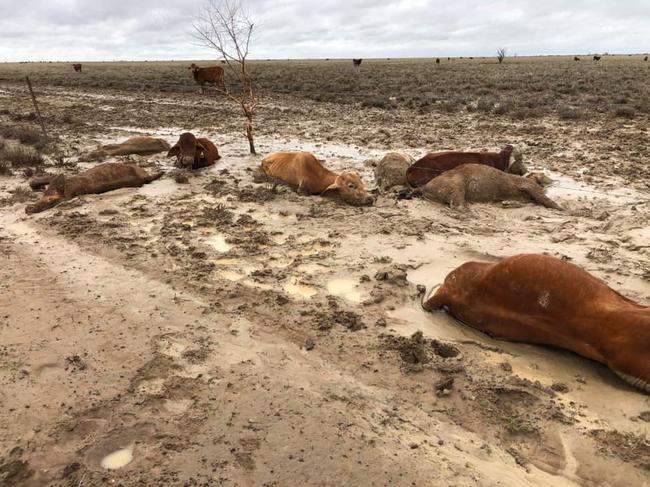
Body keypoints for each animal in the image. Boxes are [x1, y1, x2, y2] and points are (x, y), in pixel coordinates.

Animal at [418, 165, 560, 211]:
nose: (556, 181)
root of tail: (424, 188)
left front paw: (507, 203)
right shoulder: (530, 185)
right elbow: (545, 200)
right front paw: (563, 210)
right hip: (455, 183)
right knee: (457, 203)